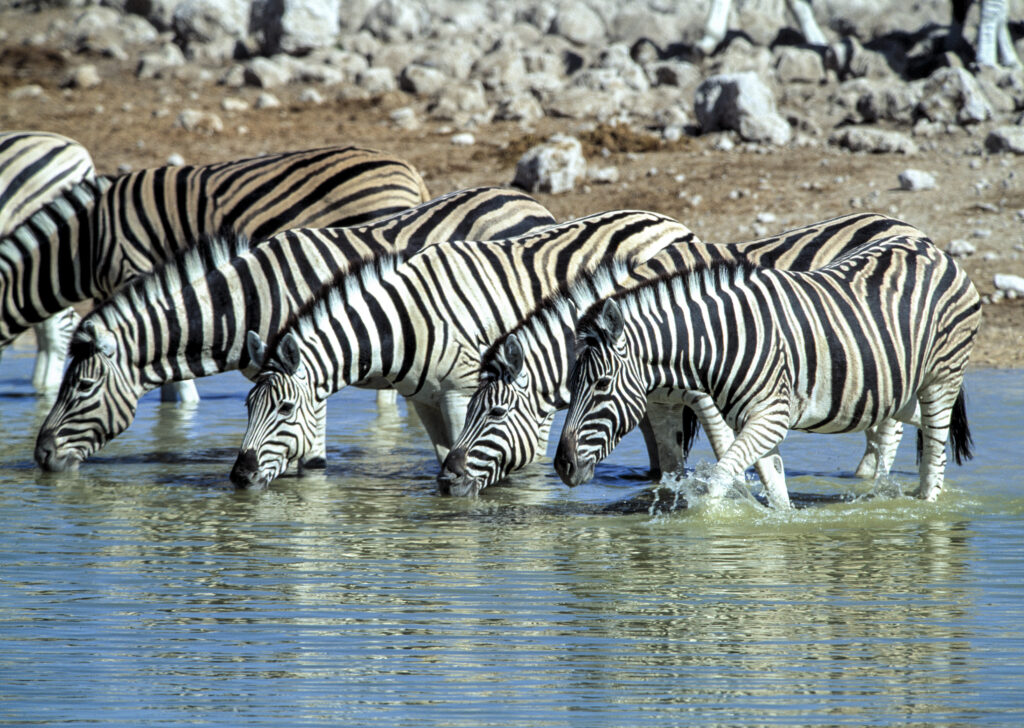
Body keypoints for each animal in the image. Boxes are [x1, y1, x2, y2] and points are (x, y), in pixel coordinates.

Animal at [33, 187, 555, 473]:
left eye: (81, 387)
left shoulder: (310, 372)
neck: (247, 302)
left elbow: (311, 460)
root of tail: (526, 199)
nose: (40, 456)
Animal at [228, 210, 702, 489]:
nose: (238, 476)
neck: (408, 318)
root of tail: (671, 222)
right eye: (247, 406)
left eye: (285, 408)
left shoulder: (462, 393)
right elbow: (447, 454)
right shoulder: (425, 400)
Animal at [438, 212, 927, 496]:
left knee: (887, 433)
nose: (446, 479)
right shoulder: (660, 403)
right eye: (471, 410)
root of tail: (905, 224)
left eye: (495, 413)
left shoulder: (709, 393)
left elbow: (728, 448)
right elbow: (669, 464)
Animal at [553, 235, 981, 508]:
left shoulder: (769, 418)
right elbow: (776, 489)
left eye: (602, 384)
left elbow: (717, 483)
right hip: (899, 389)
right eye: (572, 384)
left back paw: (928, 509)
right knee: (919, 424)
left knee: (935, 454)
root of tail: (934, 249)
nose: (561, 466)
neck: (721, 340)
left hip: (942, 378)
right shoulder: (756, 423)